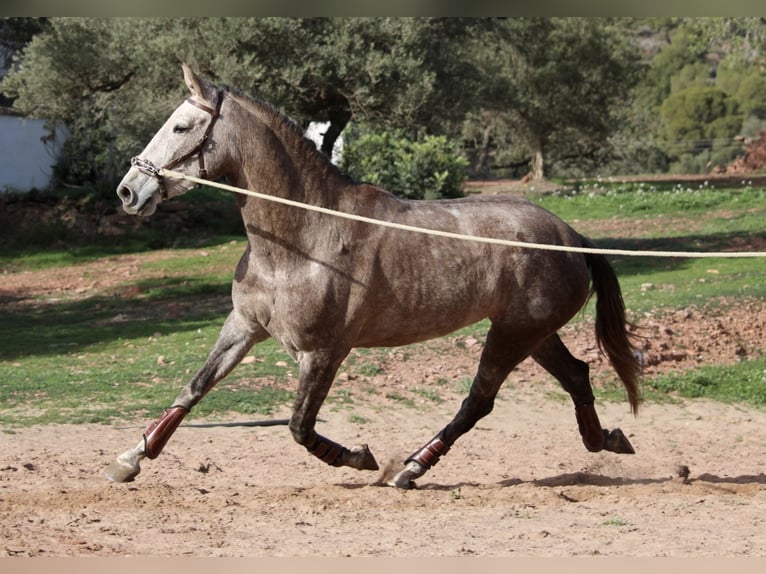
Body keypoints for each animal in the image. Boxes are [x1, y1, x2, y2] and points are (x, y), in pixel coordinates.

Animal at [105, 67, 640, 490]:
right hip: (533, 333)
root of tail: (572, 237)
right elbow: (193, 389)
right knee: (576, 375)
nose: (128, 191)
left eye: (182, 125)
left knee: (479, 401)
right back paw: (607, 440)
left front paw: (359, 458)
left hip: (512, 334)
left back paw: (412, 468)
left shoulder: (324, 351)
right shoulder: (244, 327)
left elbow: (299, 426)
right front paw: (129, 459)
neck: (303, 239)